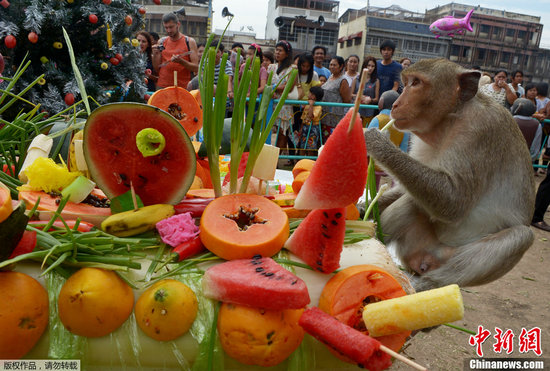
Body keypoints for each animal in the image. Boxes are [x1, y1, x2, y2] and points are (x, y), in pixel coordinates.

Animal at [364, 58, 536, 292]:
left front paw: (377, 143)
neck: (449, 120)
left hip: (448, 259)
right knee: (413, 202)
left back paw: (424, 284)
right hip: (416, 247)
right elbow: (407, 190)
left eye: (416, 83)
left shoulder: (479, 132)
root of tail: (427, 261)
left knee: (521, 236)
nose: (396, 104)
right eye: (406, 82)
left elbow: (453, 202)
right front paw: (362, 208)